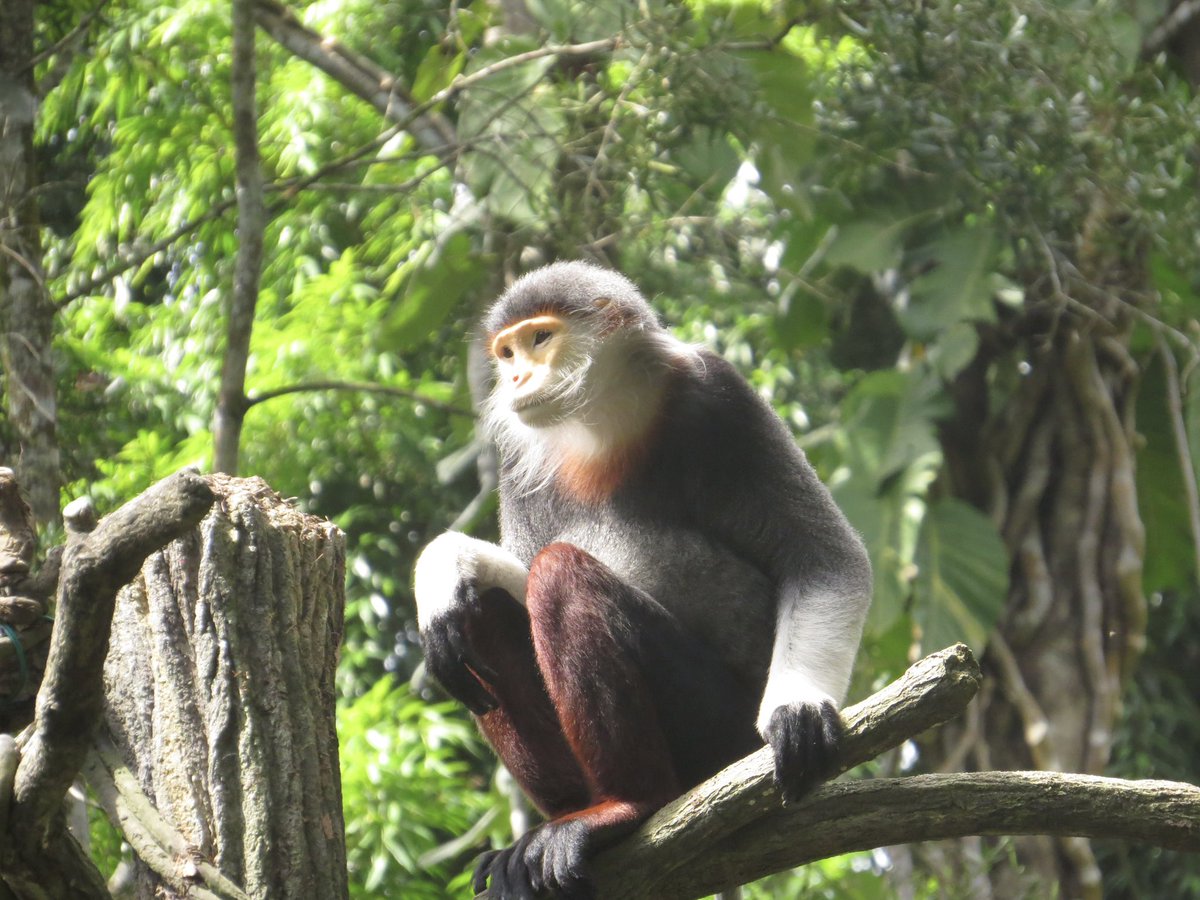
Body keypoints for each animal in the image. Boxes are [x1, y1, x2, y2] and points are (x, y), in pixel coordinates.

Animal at [413, 261, 872, 899]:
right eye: (505, 353)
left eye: (539, 339)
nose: (517, 376)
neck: (603, 421)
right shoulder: (517, 458)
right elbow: (513, 572)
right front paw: (445, 565)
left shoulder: (721, 394)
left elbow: (826, 559)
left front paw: (797, 706)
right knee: (478, 615)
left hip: (716, 732)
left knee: (560, 575)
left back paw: (627, 807)